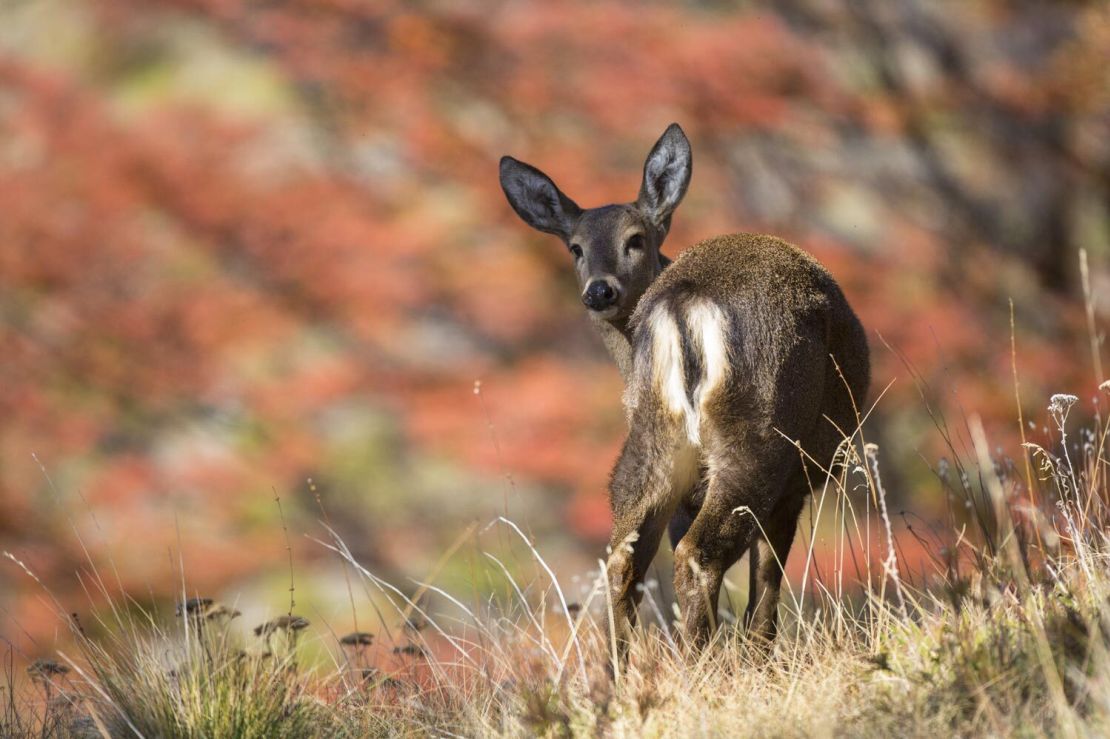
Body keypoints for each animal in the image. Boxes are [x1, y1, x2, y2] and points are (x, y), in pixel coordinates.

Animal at [499, 125, 870, 656]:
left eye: (635, 239)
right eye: (575, 247)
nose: (599, 291)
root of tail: (684, 300)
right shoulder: (794, 485)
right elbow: (766, 583)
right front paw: (759, 660)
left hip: (651, 438)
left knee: (623, 560)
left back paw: (620, 670)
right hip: (760, 438)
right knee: (701, 555)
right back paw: (703, 663)